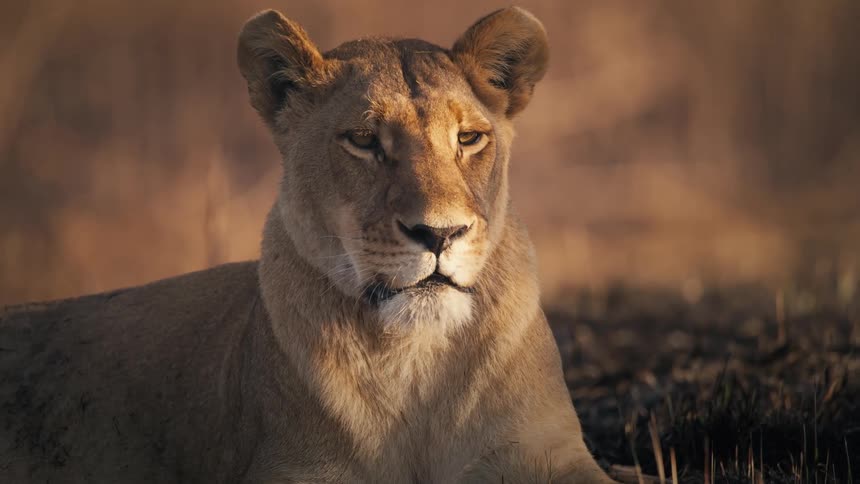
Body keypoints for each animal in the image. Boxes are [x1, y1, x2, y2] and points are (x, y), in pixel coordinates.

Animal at [0, 7, 614, 483]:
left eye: (469, 138)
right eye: (363, 140)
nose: (440, 233)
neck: (419, 362)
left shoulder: (549, 451)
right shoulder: (292, 465)